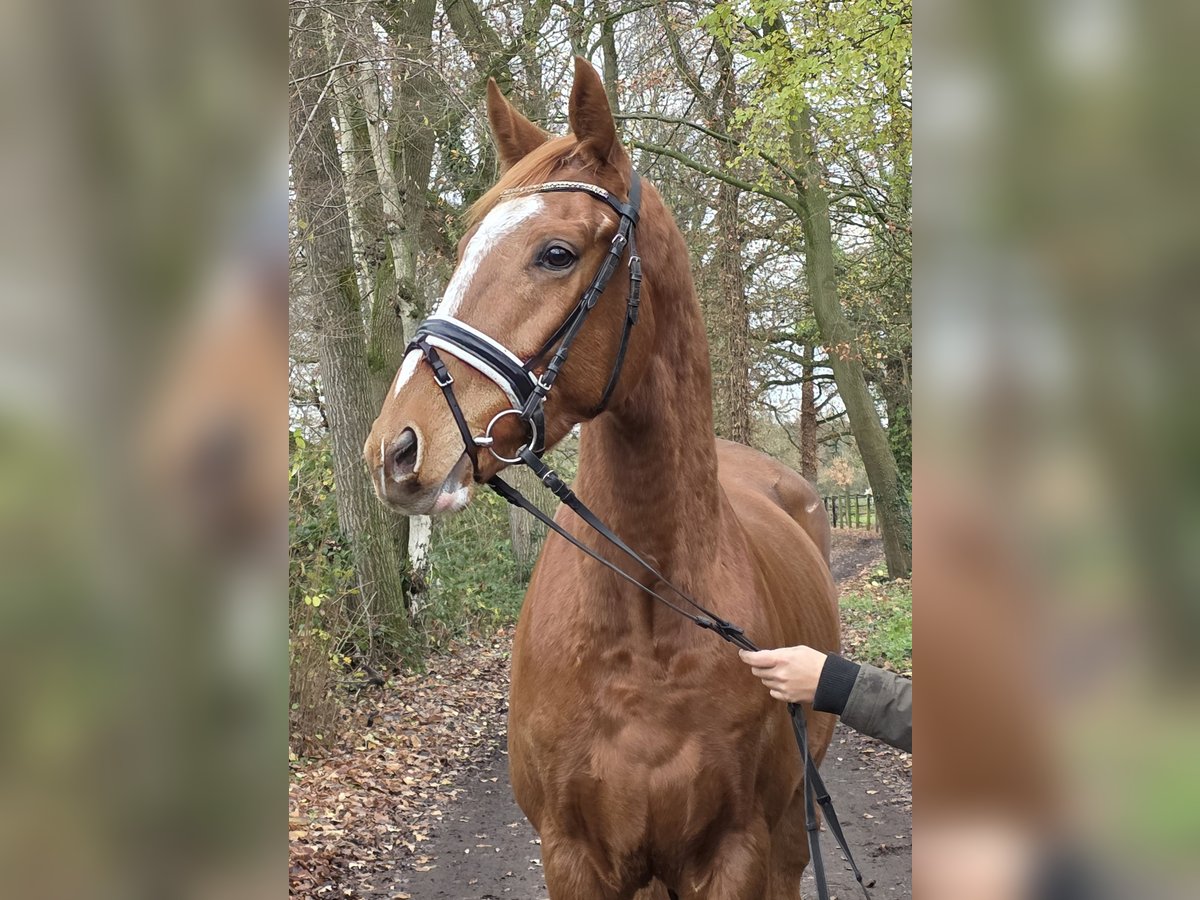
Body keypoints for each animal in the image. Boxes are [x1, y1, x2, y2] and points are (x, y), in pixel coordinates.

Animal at [365, 58, 839, 900]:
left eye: (555, 253)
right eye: (464, 249)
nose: (397, 448)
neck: (645, 623)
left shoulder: (736, 855)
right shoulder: (574, 855)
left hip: (788, 831)